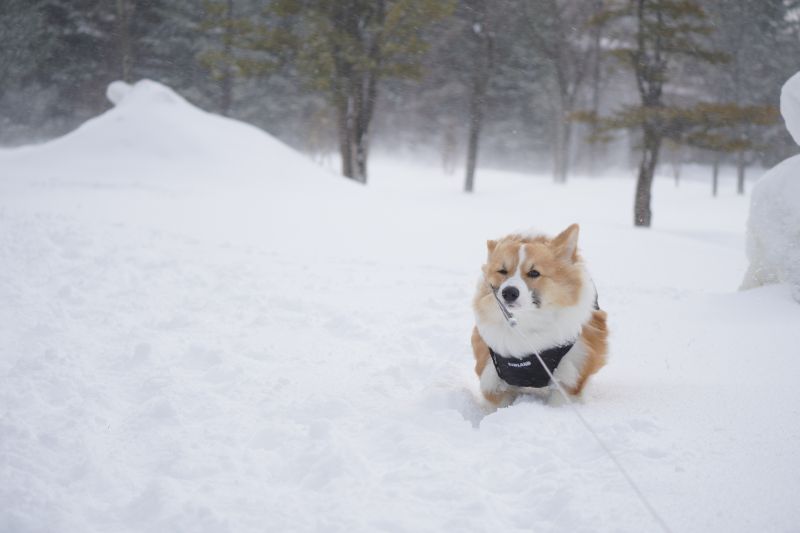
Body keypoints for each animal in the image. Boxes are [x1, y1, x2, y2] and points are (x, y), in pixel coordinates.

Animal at [468, 222, 608, 406]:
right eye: (502, 271)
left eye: (534, 273)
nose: (509, 292)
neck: (525, 322)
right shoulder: (493, 377)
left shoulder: (571, 375)